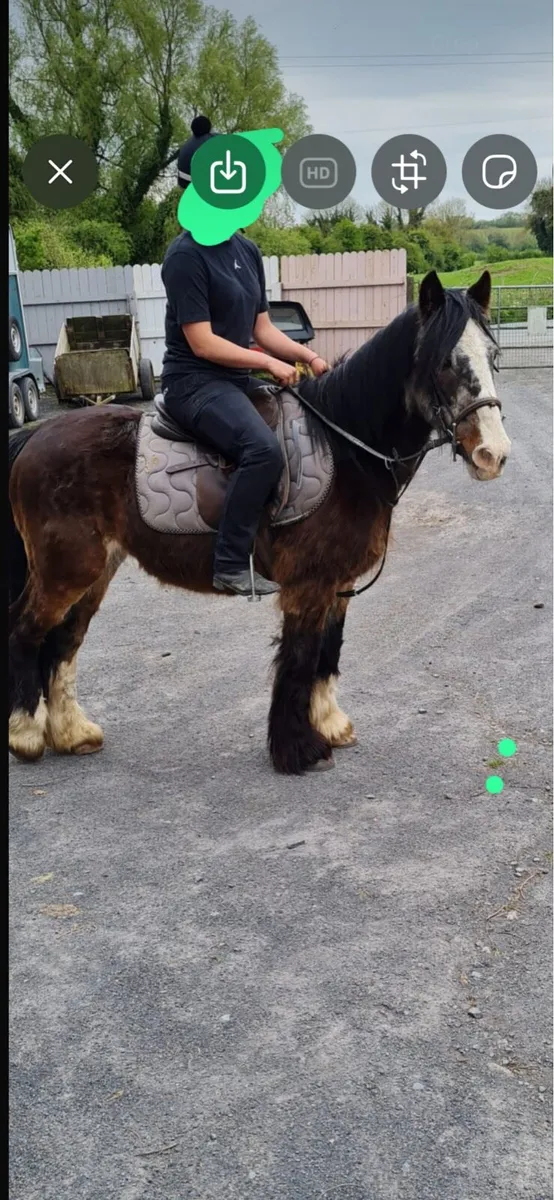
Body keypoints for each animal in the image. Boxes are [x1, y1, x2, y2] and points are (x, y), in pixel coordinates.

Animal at [8, 269, 510, 775]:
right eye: (446, 362)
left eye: (493, 357)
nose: (494, 454)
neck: (345, 448)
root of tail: (36, 437)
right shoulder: (309, 584)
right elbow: (300, 658)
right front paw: (299, 749)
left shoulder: (338, 584)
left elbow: (328, 650)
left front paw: (329, 724)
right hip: (65, 572)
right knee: (26, 633)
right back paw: (26, 736)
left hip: (93, 572)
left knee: (64, 641)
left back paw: (72, 734)